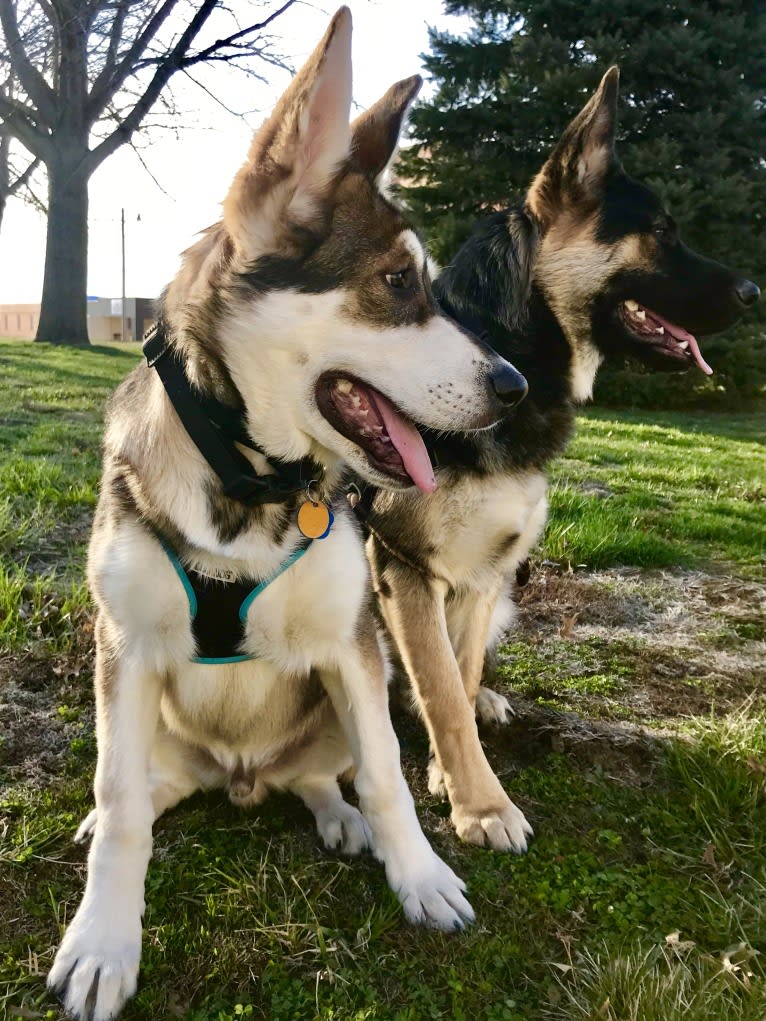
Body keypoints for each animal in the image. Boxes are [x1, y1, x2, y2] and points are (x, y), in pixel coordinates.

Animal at [46, 9, 527, 1021]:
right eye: (396, 284)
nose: (515, 386)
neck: (253, 478)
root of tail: (241, 779)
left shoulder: (354, 645)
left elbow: (386, 776)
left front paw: (419, 873)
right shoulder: (126, 650)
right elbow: (124, 812)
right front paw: (103, 939)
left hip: (342, 702)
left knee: (322, 773)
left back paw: (338, 816)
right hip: (152, 725)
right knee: (138, 791)